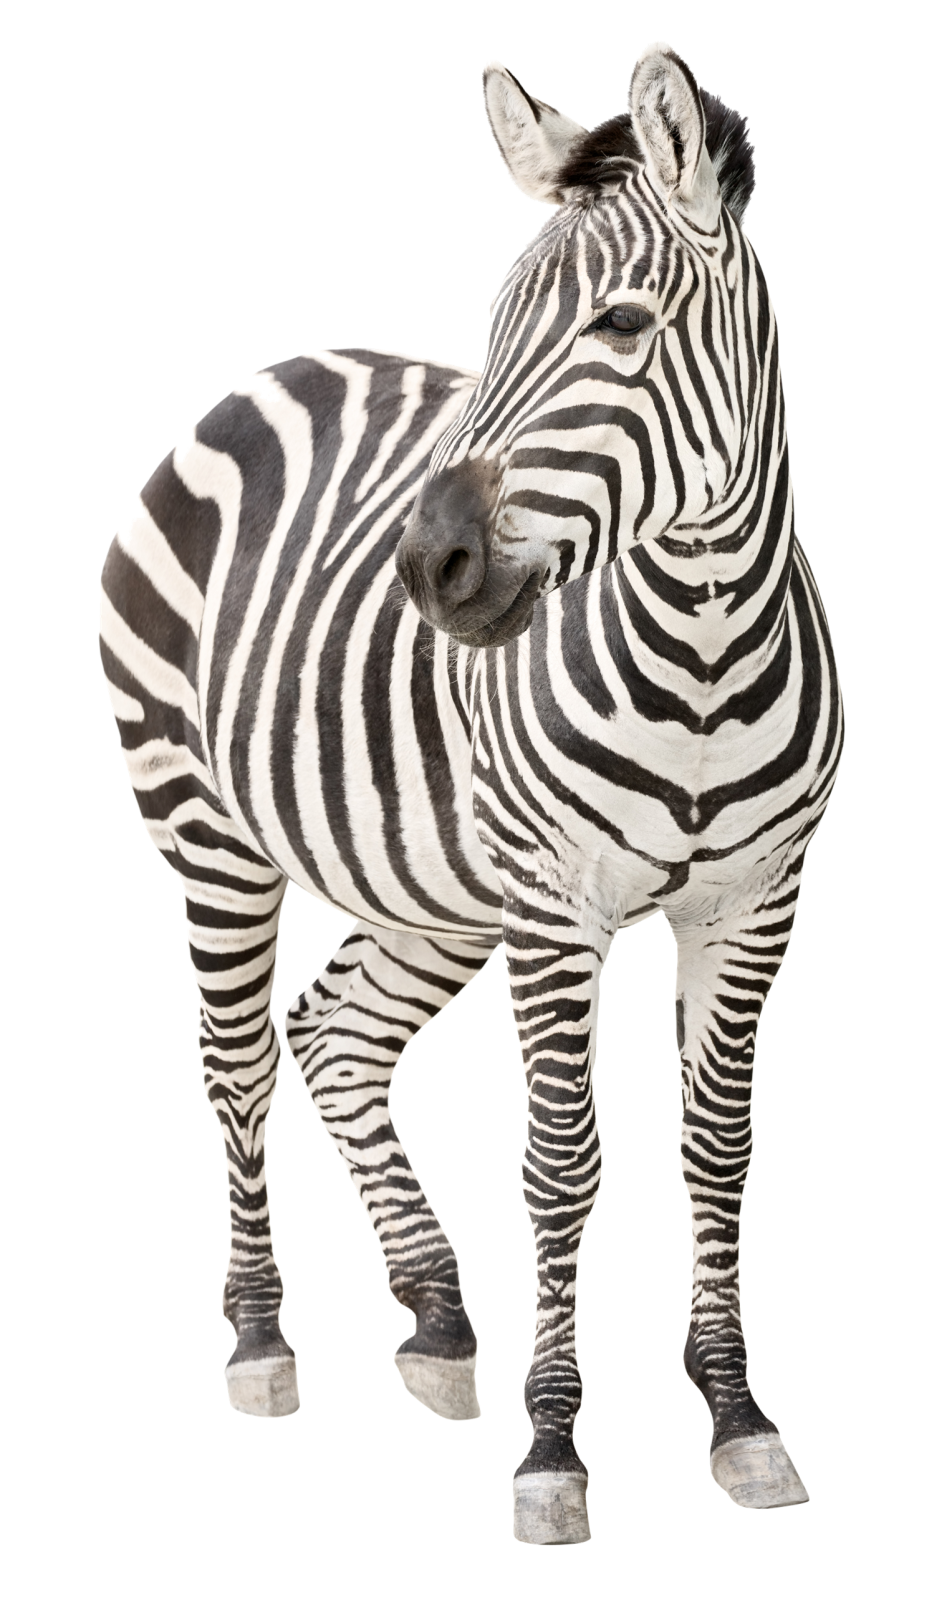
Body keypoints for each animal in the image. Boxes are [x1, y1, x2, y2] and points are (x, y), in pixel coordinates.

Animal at [99, 41, 842, 1542]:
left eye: (620, 326)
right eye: (491, 327)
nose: (425, 567)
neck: (705, 649)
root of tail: (260, 382)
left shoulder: (753, 904)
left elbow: (718, 1150)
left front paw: (739, 1418)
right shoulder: (557, 913)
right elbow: (561, 1168)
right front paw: (553, 1452)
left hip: (429, 883)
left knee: (332, 1035)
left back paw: (441, 1324)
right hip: (210, 835)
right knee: (237, 1061)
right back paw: (260, 1340)